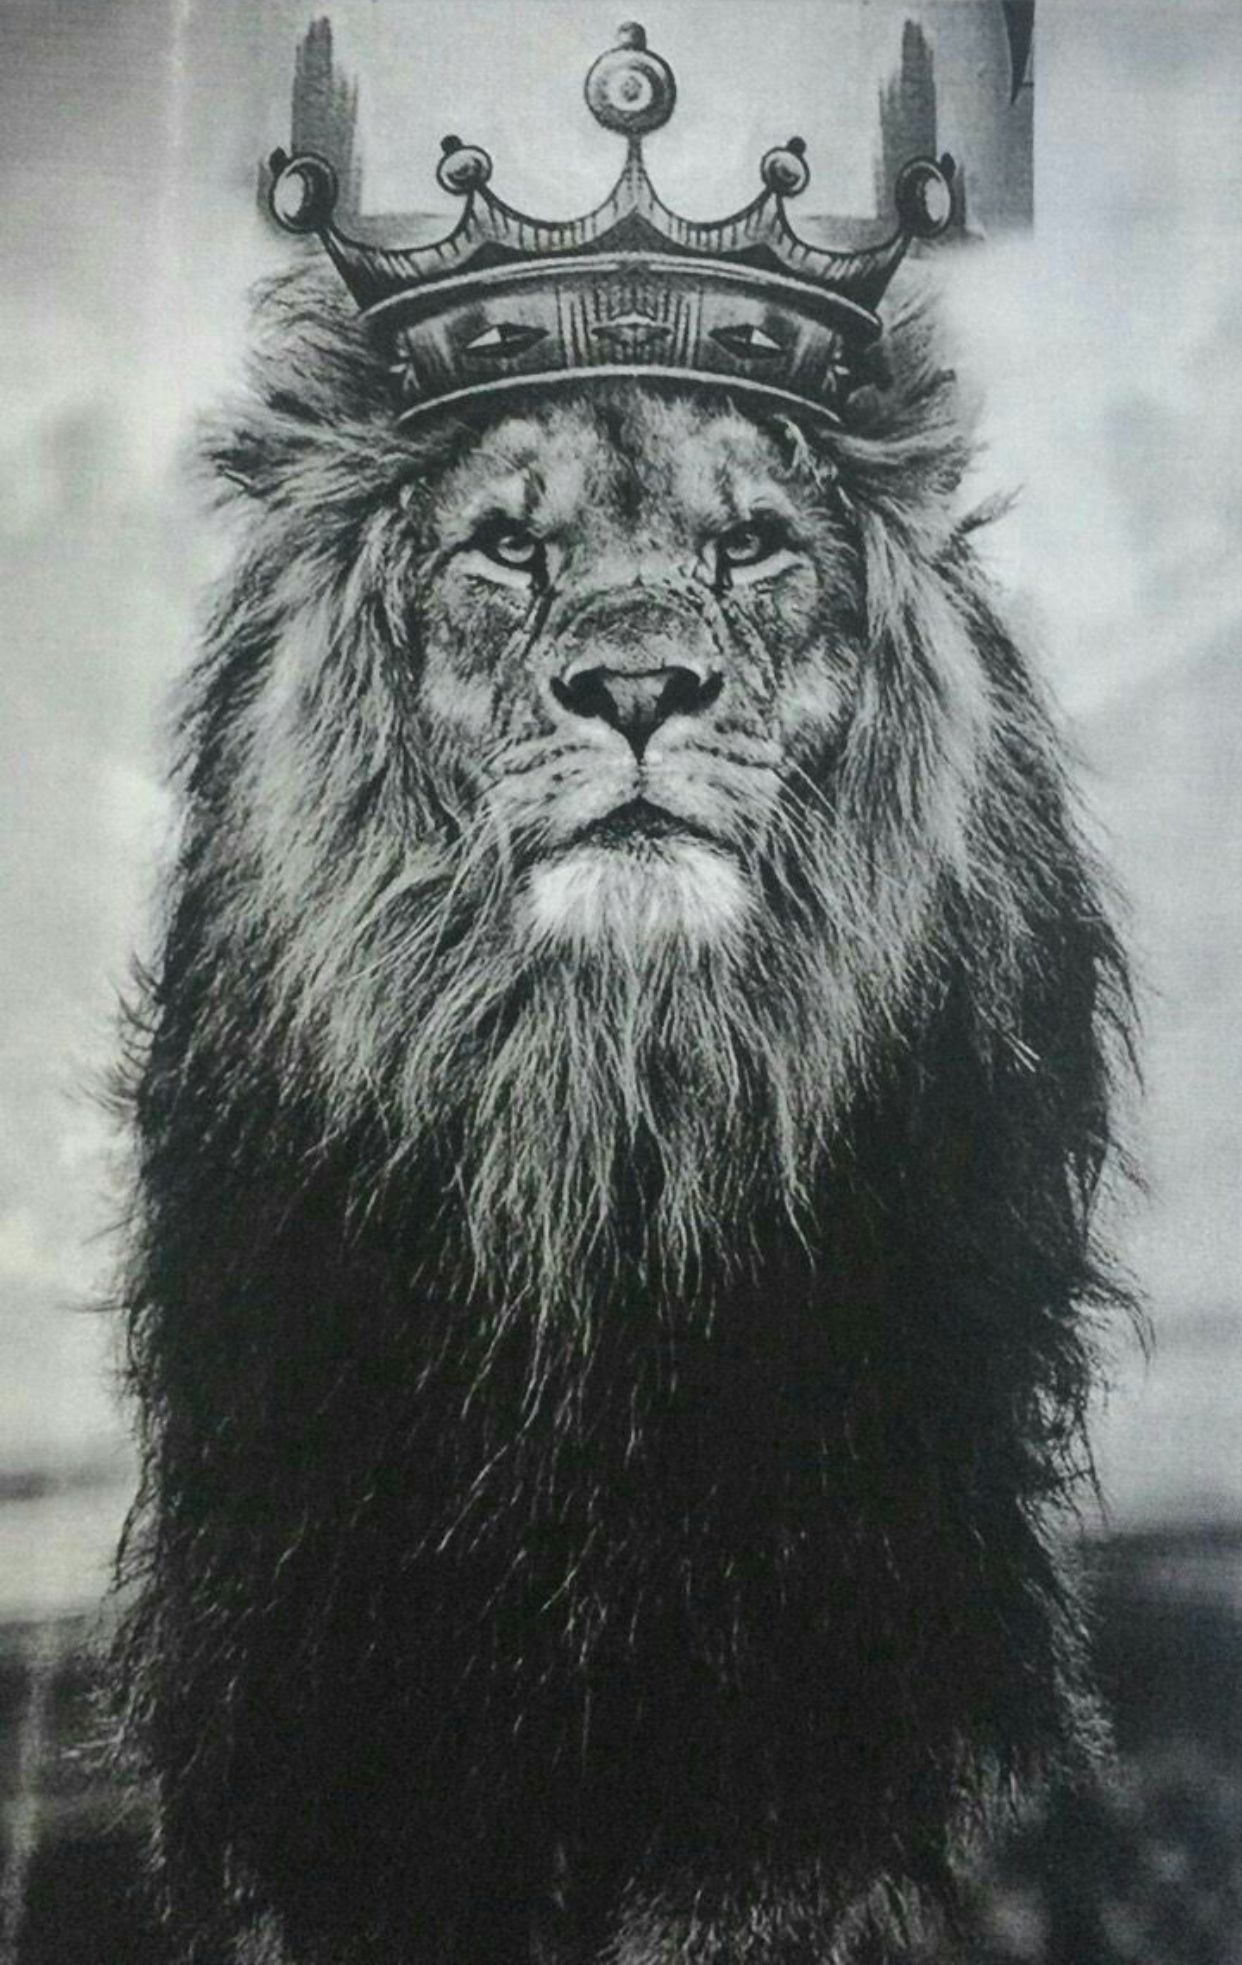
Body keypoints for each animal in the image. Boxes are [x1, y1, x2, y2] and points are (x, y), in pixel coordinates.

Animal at [111, 265, 1131, 1965]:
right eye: (509, 547)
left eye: (750, 545)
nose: (640, 688)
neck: (605, 1109)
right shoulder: (330, 1675)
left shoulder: (833, 1689)